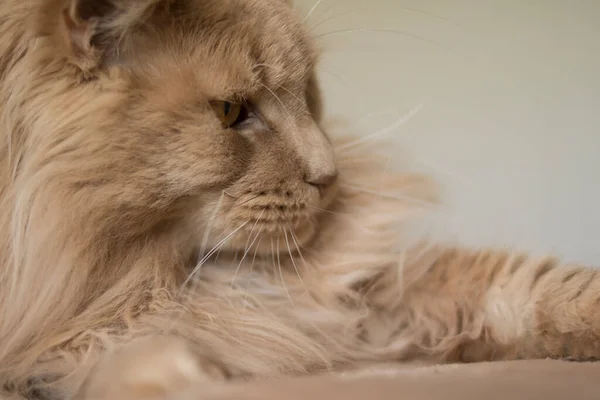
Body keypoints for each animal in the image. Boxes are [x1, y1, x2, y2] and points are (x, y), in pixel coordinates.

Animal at [0, 0, 596, 398]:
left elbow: (533, 288)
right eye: (230, 112)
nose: (328, 175)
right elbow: (113, 357)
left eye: (308, 91)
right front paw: (180, 374)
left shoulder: (365, 301)